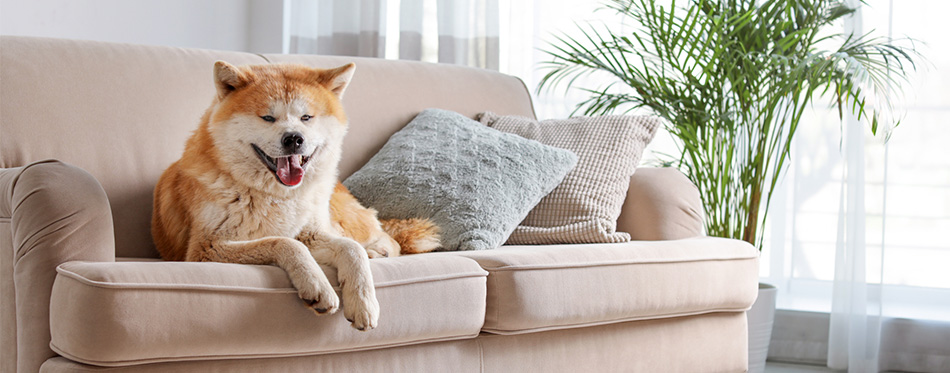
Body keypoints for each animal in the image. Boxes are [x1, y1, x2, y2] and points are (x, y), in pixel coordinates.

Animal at [153, 59, 442, 330]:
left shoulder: (311, 232)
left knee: (385, 238)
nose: (294, 139)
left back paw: (376, 251)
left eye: (306, 117)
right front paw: (318, 285)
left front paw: (363, 302)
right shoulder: (206, 249)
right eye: (267, 118)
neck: (278, 196)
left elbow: (351, 249)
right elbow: (285, 243)